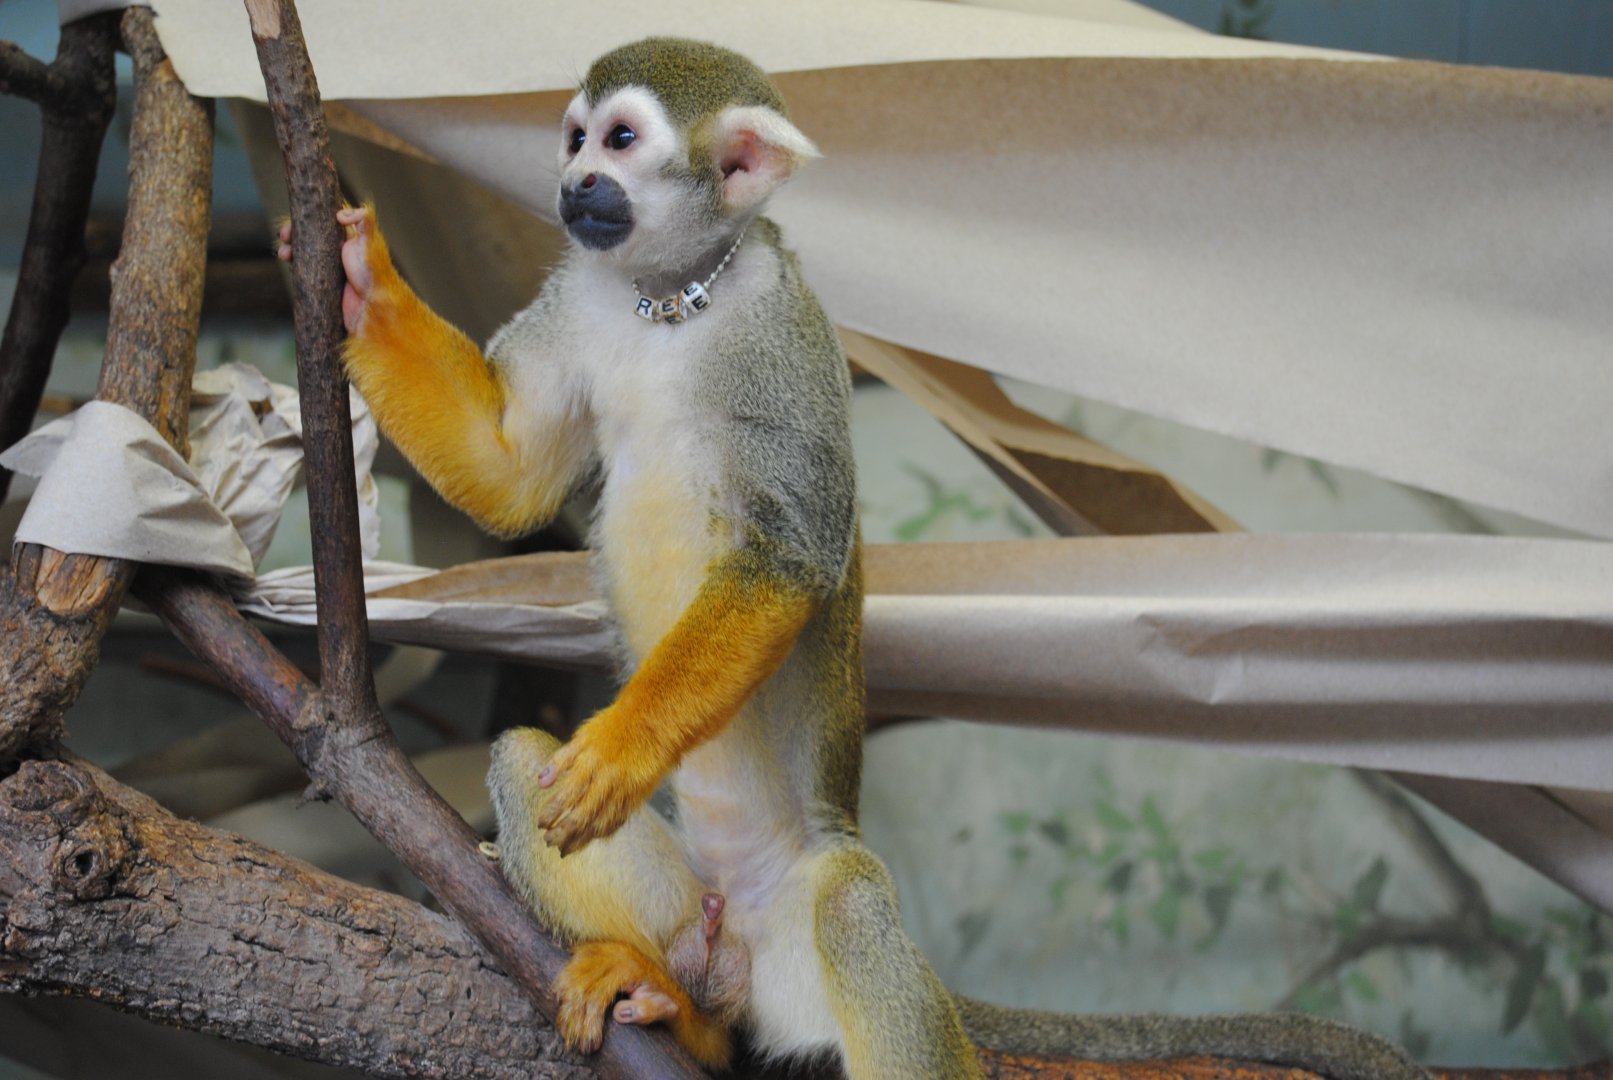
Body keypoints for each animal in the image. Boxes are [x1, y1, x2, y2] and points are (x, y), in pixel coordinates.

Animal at [280, 36, 1431, 1080]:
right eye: (573, 139)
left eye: (619, 141)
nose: (573, 186)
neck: (668, 303)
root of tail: (740, 942)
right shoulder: (580, 294)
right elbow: (506, 475)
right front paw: (360, 281)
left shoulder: (781, 334)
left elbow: (787, 557)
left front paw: (619, 750)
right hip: (705, 926)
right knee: (527, 766)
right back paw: (675, 1004)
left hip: (810, 923)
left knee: (846, 909)